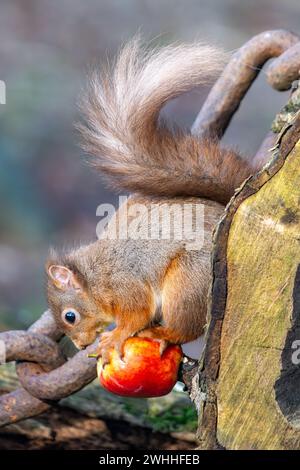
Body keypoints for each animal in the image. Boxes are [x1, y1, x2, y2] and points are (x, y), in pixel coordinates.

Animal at [46, 38, 255, 366]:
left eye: (70, 316)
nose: (80, 345)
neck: (96, 277)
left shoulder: (126, 286)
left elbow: (137, 314)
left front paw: (114, 337)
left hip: (187, 284)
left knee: (186, 328)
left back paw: (163, 333)